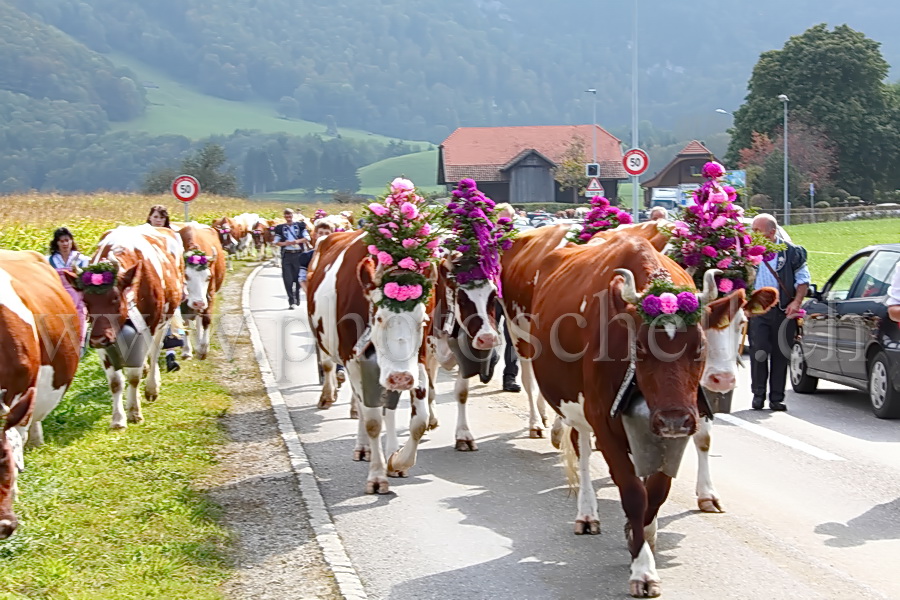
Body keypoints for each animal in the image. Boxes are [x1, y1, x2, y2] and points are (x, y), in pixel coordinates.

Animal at [72, 224, 188, 426]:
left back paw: (151, 387)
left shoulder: (147, 328)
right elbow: (115, 382)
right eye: (86, 301)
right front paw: (118, 419)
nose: (98, 339)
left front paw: (134, 411)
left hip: (164, 319)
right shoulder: (102, 339)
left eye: (115, 298)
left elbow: (133, 377)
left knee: (154, 352)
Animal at [173, 223, 227, 358]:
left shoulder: (210, 294)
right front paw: (187, 350)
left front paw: (203, 348)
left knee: (199, 319)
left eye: (208, 277)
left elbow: (206, 318)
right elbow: (185, 322)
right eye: (186, 276)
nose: (199, 303)